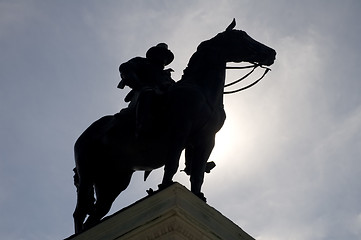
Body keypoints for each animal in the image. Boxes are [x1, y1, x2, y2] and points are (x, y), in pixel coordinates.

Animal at [73, 19, 276, 233]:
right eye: (241, 37)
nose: (271, 53)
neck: (202, 91)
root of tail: (85, 135)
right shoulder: (181, 130)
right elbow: (172, 164)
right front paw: (164, 186)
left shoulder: (207, 139)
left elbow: (197, 173)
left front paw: (198, 196)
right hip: (88, 173)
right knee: (80, 211)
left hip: (113, 181)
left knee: (96, 213)